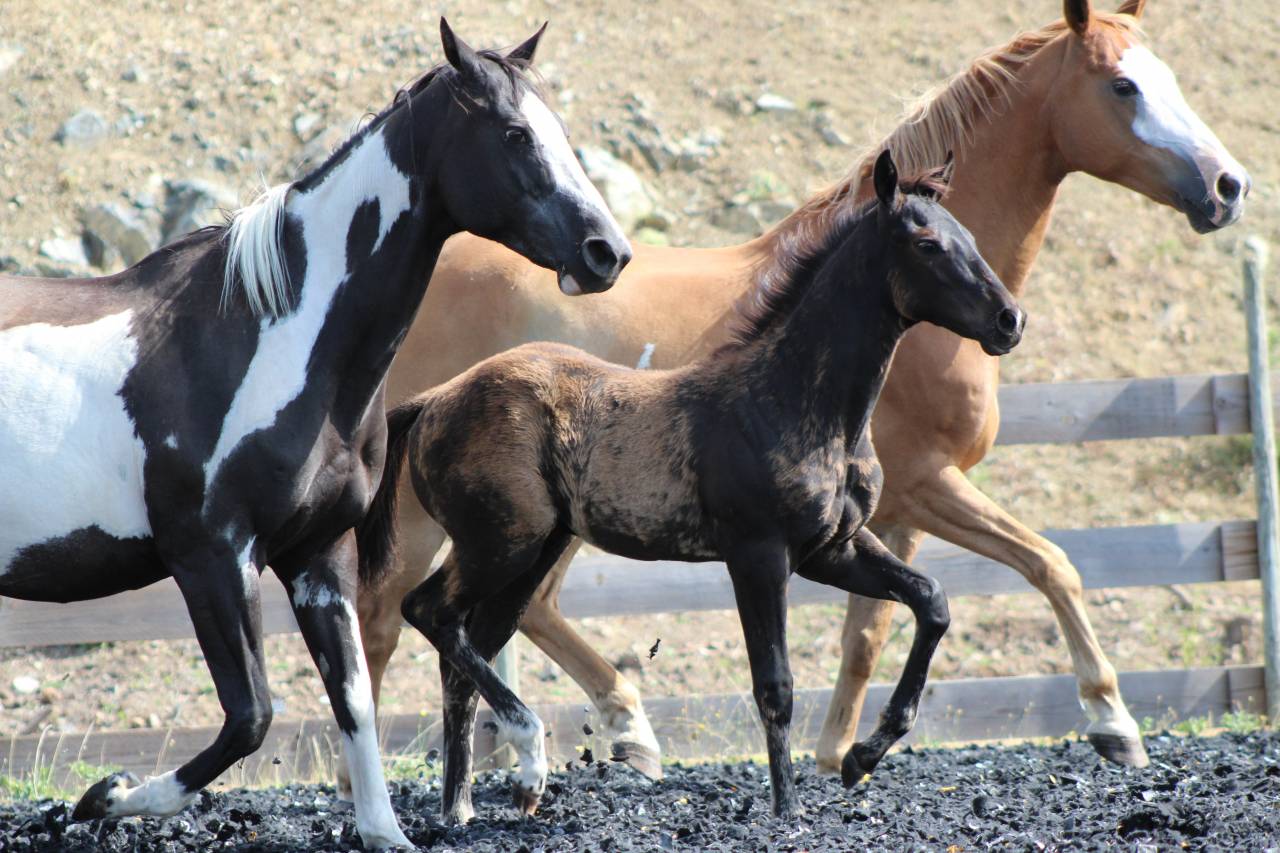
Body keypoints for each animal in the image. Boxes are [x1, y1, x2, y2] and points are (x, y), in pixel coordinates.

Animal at [0, 20, 628, 849]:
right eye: (514, 133)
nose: (606, 251)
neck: (262, 334)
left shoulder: (317, 554)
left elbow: (353, 699)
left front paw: (389, 827)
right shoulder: (211, 555)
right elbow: (251, 717)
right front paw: (106, 795)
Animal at [358, 151, 1023, 821]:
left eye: (969, 235)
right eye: (927, 243)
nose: (1009, 320)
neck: (795, 401)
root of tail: (434, 400)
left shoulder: (833, 550)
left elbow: (931, 601)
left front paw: (861, 757)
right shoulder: (759, 556)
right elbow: (775, 684)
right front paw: (788, 809)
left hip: (529, 554)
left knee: (461, 655)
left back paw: (464, 808)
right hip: (499, 545)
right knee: (427, 612)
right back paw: (525, 763)